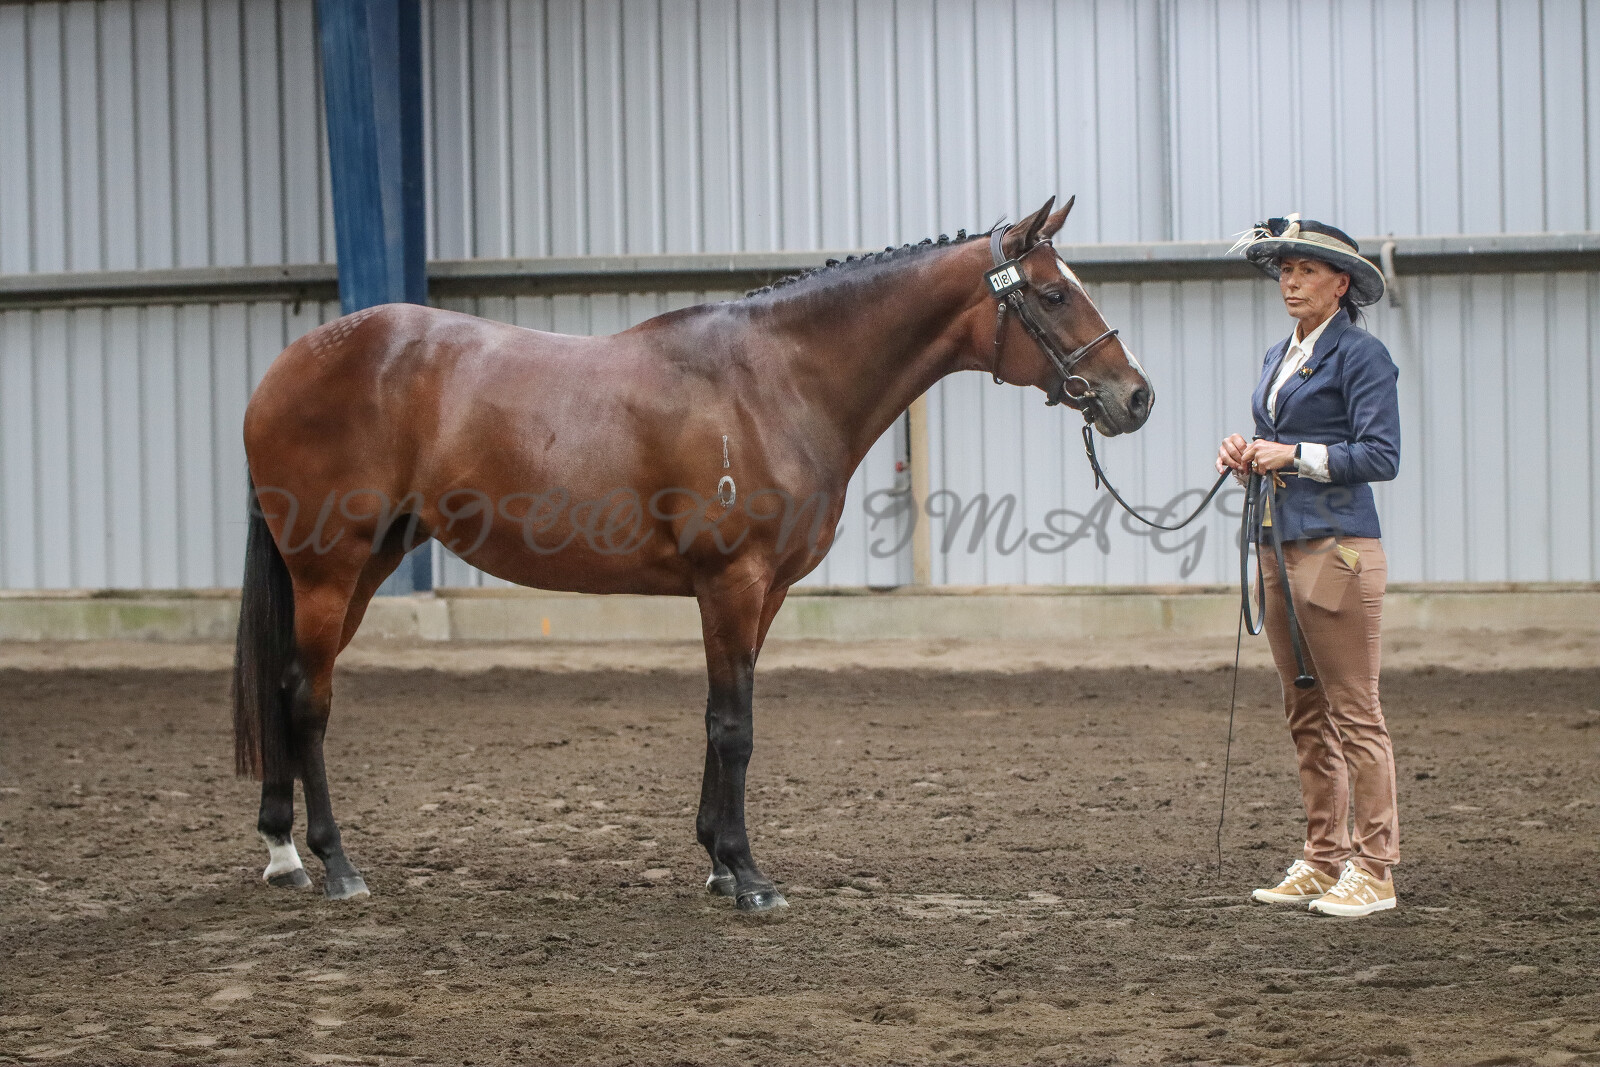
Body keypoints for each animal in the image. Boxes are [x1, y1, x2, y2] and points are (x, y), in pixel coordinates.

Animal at [232, 196, 1154, 913]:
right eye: (1051, 293)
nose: (1135, 397)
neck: (774, 380)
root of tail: (283, 367)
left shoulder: (762, 593)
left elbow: (723, 716)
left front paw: (717, 860)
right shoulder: (731, 582)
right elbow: (733, 726)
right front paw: (749, 875)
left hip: (367, 565)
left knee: (285, 684)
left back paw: (282, 853)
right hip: (330, 566)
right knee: (307, 698)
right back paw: (337, 864)